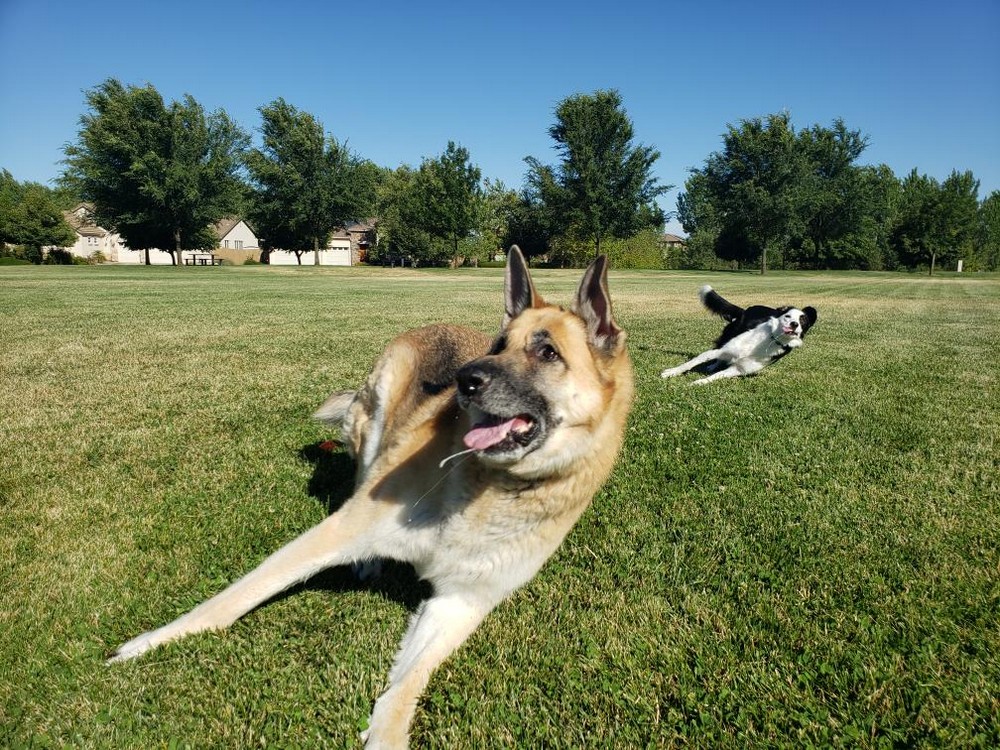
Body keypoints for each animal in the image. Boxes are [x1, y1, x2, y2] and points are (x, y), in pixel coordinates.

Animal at [660, 284, 816, 384]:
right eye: (788, 316)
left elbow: (717, 376)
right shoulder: (724, 349)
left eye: (802, 321)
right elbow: (691, 362)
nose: (794, 324)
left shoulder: (739, 369)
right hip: (728, 336)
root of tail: (745, 310)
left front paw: (700, 382)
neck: (771, 339)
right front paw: (672, 372)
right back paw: (712, 365)